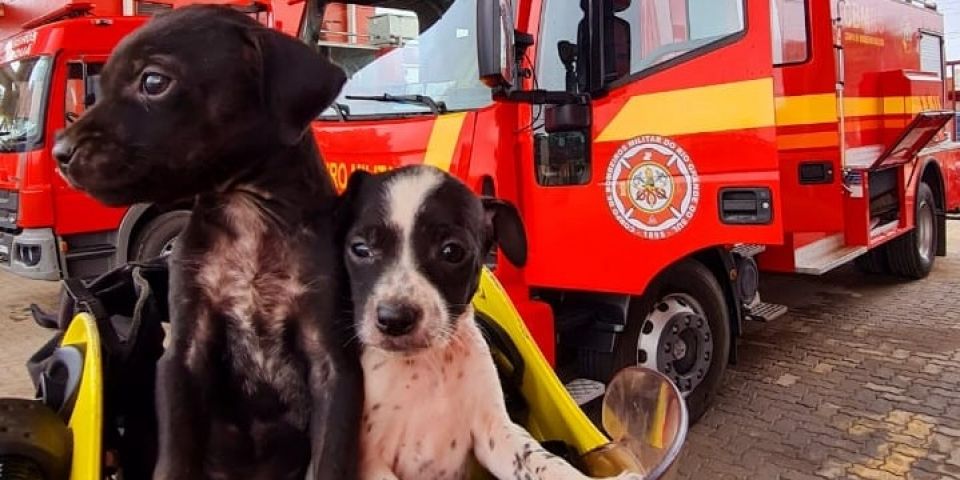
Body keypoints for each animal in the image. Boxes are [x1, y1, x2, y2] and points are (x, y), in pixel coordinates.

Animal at [54, 5, 366, 478]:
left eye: (153, 82)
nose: (59, 153)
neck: (249, 214)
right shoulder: (185, 353)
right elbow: (174, 457)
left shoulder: (333, 364)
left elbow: (328, 459)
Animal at [342, 166, 640, 480]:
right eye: (360, 249)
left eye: (452, 252)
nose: (394, 319)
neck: (425, 366)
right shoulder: (369, 462)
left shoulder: (495, 431)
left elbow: (545, 461)